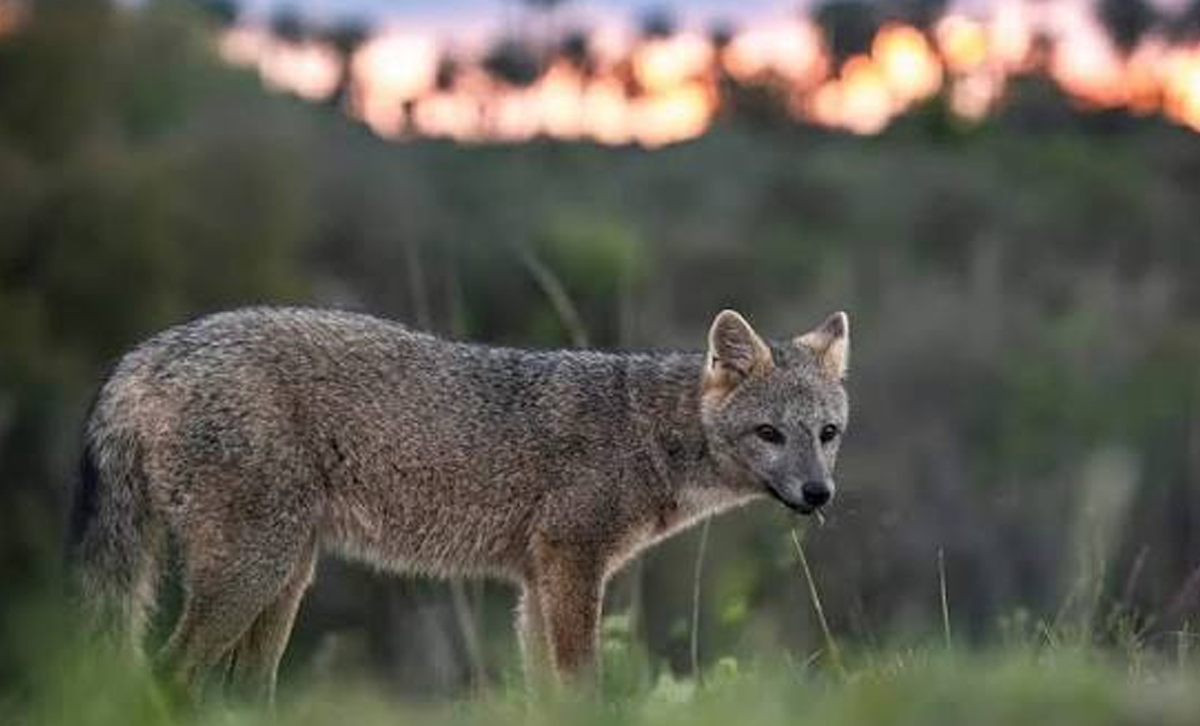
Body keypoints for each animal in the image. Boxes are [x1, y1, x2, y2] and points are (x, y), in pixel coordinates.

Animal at [68, 305, 850, 703]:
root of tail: (145, 353)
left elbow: (547, 694)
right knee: (167, 673)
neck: (645, 431)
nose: (819, 494)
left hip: (284, 580)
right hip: (253, 573)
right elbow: (583, 686)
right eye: (770, 434)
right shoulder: (572, 565)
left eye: (827, 435)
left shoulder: (536, 583)